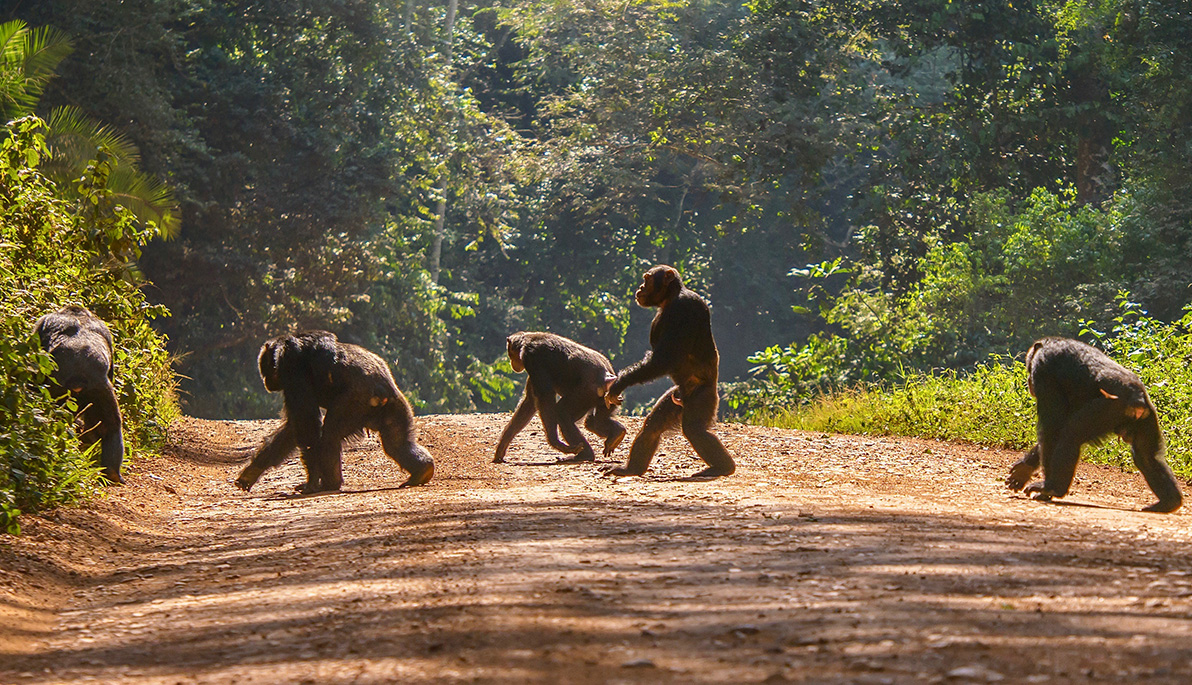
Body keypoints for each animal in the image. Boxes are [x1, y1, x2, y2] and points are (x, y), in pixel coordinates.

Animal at [34, 304, 126, 481]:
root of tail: (78, 379)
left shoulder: (41, 323)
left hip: (65, 388)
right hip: (100, 389)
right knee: (111, 425)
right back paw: (112, 472)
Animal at [234, 331, 436, 493]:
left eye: (265, 369)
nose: (266, 381)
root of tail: (382, 391)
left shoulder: (292, 372)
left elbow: (306, 424)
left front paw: (311, 482)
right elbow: (292, 428)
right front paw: (251, 472)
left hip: (354, 403)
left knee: (330, 434)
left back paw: (329, 484)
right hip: (395, 407)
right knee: (397, 444)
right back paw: (422, 471)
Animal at [493, 333, 629, 466]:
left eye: (510, 354)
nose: (511, 362)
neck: (525, 343)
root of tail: (607, 378)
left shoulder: (533, 359)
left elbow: (545, 397)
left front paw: (555, 441)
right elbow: (529, 402)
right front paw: (501, 448)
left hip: (584, 394)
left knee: (562, 413)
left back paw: (584, 455)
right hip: (608, 399)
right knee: (595, 422)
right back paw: (616, 433)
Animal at [605, 265, 734, 478]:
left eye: (647, 279)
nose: (640, 287)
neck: (670, 298)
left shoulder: (683, 308)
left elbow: (663, 358)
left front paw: (620, 383)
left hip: (702, 397)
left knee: (694, 430)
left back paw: (723, 467)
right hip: (675, 398)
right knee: (653, 426)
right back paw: (631, 469)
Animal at [1006, 338, 1182, 514]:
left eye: (1030, 368)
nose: (1029, 382)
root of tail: (1138, 400)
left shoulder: (1042, 370)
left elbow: (1053, 427)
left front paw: (1041, 486)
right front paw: (1024, 469)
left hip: (1108, 409)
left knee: (1071, 434)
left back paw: (1052, 487)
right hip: (1147, 418)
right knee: (1146, 456)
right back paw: (1168, 502)